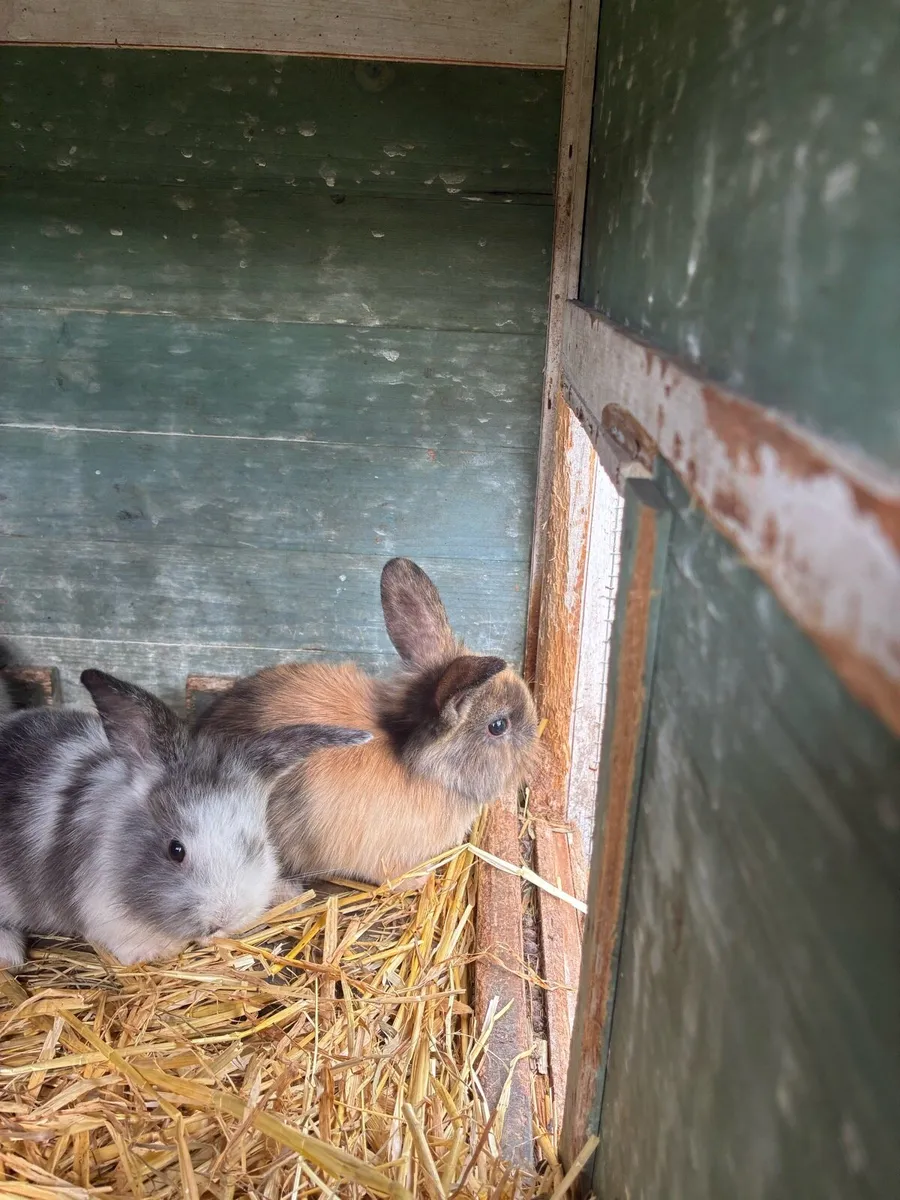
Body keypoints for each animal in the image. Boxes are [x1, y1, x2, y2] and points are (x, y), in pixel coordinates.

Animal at [0, 668, 371, 969]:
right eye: (175, 850)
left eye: (257, 845)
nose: (224, 918)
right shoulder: (102, 909)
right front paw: (159, 951)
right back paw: (10, 956)